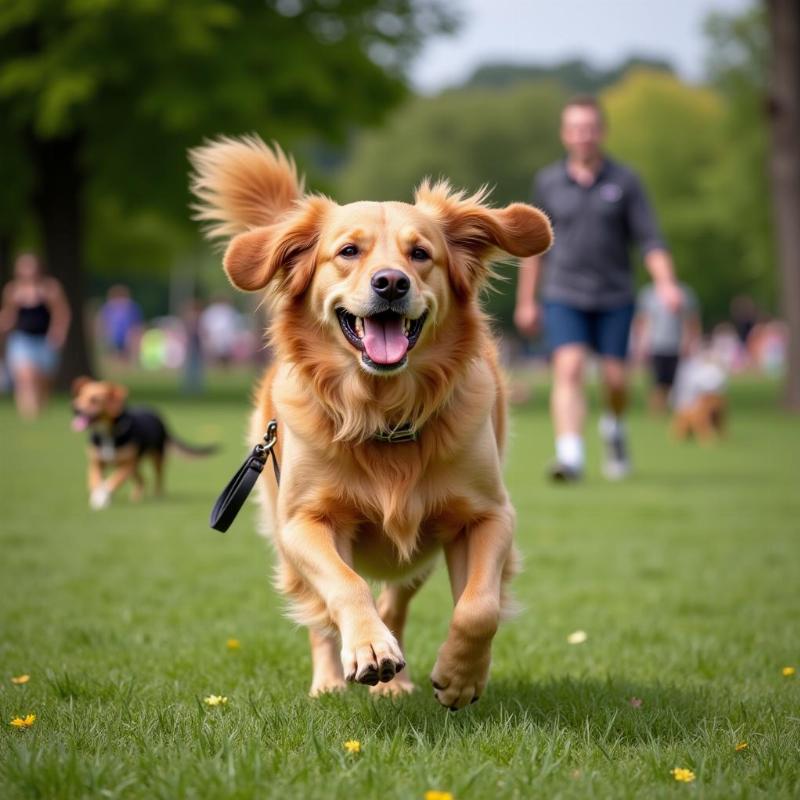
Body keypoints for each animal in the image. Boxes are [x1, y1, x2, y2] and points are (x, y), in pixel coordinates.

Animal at [189, 136, 552, 708]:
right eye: (348, 252)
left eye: (420, 253)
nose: (391, 283)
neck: (384, 414)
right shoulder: (303, 521)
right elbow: (344, 586)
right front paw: (368, 649)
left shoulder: (489, 515)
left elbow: (479, 606)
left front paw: (460, 675)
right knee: (320, 615)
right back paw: (331, 678)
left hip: (419, 554)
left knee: (397, 601)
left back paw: (397, 679)